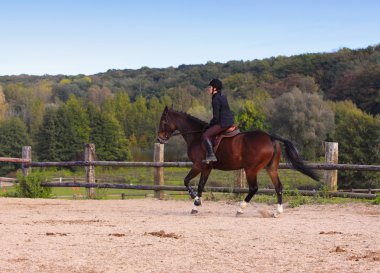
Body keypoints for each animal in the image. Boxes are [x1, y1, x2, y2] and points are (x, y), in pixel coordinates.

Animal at [156, 105, 320, 215]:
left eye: (163, 120)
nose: (159, 138)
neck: (196, 136)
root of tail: (270, 137)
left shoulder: (198, 165)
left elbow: (186, 181)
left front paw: (195, 199)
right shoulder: (206, 168)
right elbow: (201, 185)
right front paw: (196, 205)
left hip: (251, 169)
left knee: (254, 188)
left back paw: (240, 208)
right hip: (271, 168)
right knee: (278, 187)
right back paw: (277, 212)